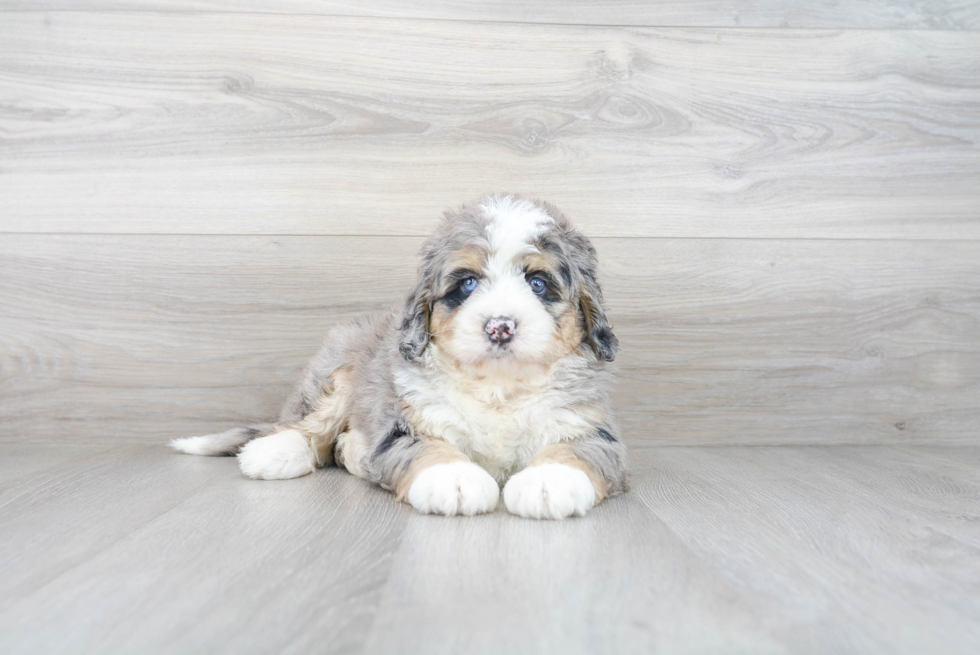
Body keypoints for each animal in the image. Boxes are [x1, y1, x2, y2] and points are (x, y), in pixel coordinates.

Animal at [172, 195, 632, 516]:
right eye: (467, 284)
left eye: (538, 284)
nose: (500, 325)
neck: (498, 387)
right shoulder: (407, 423)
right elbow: (431, 449)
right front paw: (454, 480)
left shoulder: (590, 428)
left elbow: (573, 451)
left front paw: (548, 482)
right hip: (337, 376)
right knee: (308, 426)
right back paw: (275, 453)